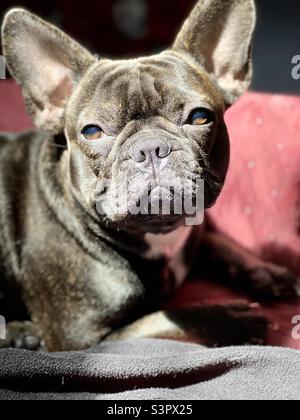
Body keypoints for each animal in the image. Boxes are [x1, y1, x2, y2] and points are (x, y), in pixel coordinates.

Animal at [0, 0, 298, 352]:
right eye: (92, 132)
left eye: (200, 117)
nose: (150, 148)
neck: (158, 233)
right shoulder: (84, 339)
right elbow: (168, 322)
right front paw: (232, 321)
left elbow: (217, 241)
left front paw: (264, 270)